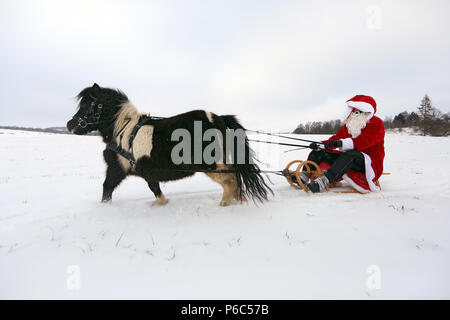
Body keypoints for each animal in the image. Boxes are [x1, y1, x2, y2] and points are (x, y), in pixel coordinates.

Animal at [66, 84, 270, 206]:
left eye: (88, 106)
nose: (70, 125)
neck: (123, 131)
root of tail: (219, 118)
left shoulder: (117, 169)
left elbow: (107, 189)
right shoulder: (145, 170)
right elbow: (155, 189)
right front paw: (162, 204)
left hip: (212, 165)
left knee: (230, 181)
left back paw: (224, 205)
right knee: (235, 180)